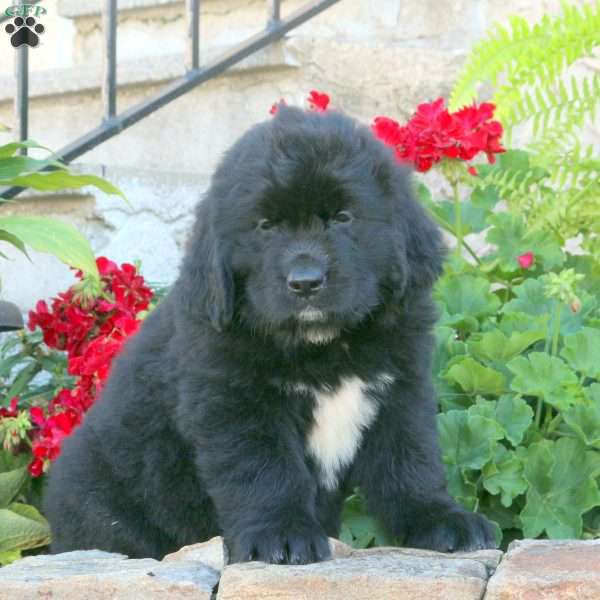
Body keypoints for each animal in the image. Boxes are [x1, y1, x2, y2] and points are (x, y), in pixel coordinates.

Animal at [44, 106, 496, 564]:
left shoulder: (401, 387)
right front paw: (282, 535)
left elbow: (411, 460)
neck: (324, 346)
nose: (305, 281)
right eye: (265, 226)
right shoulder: (235, 401)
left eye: (343, 217)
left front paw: (440, 519)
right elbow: (265, 469)